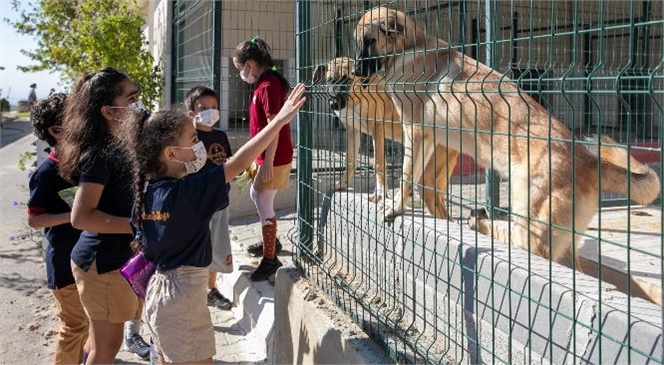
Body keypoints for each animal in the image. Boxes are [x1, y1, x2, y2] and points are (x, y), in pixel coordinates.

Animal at [314, 55, 460, 218]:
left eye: (346, 80)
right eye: (329, 80)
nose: (333, 103)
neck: (356, 96)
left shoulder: (376, 128)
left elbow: (379, 164)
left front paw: (381, 194)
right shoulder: (352, 130)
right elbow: (350, 161)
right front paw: (342, 184)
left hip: (427, 178)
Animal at [352, 7, 660, 266]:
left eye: (369, 40)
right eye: (357, 42)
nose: (354, 70)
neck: (409, 48)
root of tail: (588, 159)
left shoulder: (414, 130)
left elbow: (405, 177)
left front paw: (394, 208)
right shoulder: (427, 137)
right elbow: (414, 179)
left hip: (530, 216)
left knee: (521, 241)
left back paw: (481, 223)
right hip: (561, 241)